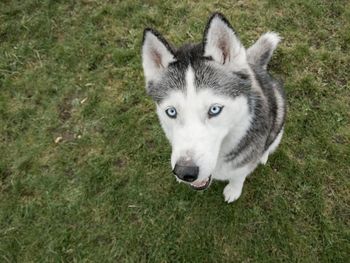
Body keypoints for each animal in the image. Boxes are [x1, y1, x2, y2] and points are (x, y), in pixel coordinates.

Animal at [141, 12, 286, 204]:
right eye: (171, 112)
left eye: (214, 110)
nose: (185, 172)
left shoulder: (244, 164)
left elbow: (239, 176)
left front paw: (234, 189)